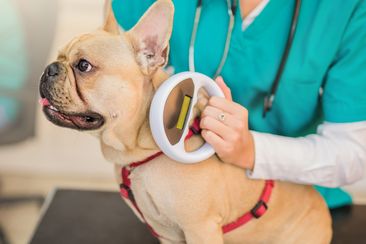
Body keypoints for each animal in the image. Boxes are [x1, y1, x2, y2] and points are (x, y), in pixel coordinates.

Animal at [39, 0, 332, 243]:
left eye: (83, 66)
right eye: (59, 56)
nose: (49, 68)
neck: (140, 150)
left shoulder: (201, 228)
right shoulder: (168, 235)